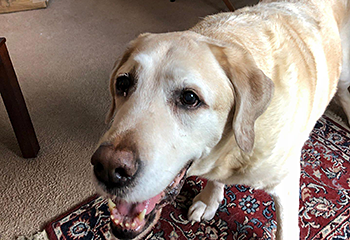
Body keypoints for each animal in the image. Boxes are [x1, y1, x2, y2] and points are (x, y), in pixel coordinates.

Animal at [91, 0, 350, 239]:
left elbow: (285, 229)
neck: (234, 150)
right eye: (122, 83)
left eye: (189, 98)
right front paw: (210, 198)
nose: (108, 168)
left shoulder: (286, 182)